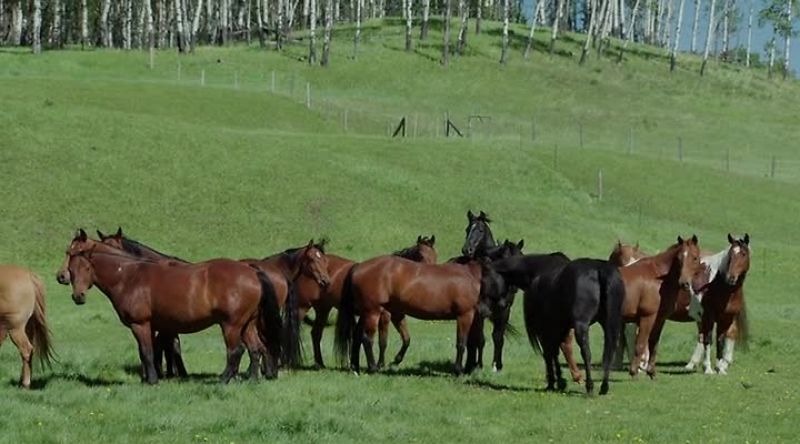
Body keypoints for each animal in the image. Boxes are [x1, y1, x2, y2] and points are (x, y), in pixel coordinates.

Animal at [62, 229, 296, 384]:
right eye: (69, 256)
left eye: (77, 259)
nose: (77, 295)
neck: (129, 275)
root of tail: (252, 271)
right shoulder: (159, 327)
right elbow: (154, 350)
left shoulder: (142, 324)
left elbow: (148, 351)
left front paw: (153, 380)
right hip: (247, 324)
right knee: (256, 349)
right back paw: (253, 379)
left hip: (232, 325)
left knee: (236, 351)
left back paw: (224, 379)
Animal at [334, 253, 507, 375]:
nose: (503, 306)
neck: (471, 278)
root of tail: (358, 267)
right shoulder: (464, 315)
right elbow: (461, 343)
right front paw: (458, 370)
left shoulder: (474, 317)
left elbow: (474, 342)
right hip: (373, 311)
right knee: (367, 339)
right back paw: (373, 368)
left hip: (366, 313)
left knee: (357, 337)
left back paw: (355, 367)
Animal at [672, 234, 751, 374]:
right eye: (730, 255)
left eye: (743, 253)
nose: (731, 277)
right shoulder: (709, 316)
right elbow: (709, 339)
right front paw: (708, 368)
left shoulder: (725, 318)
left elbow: (720, 339)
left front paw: (718, 368)